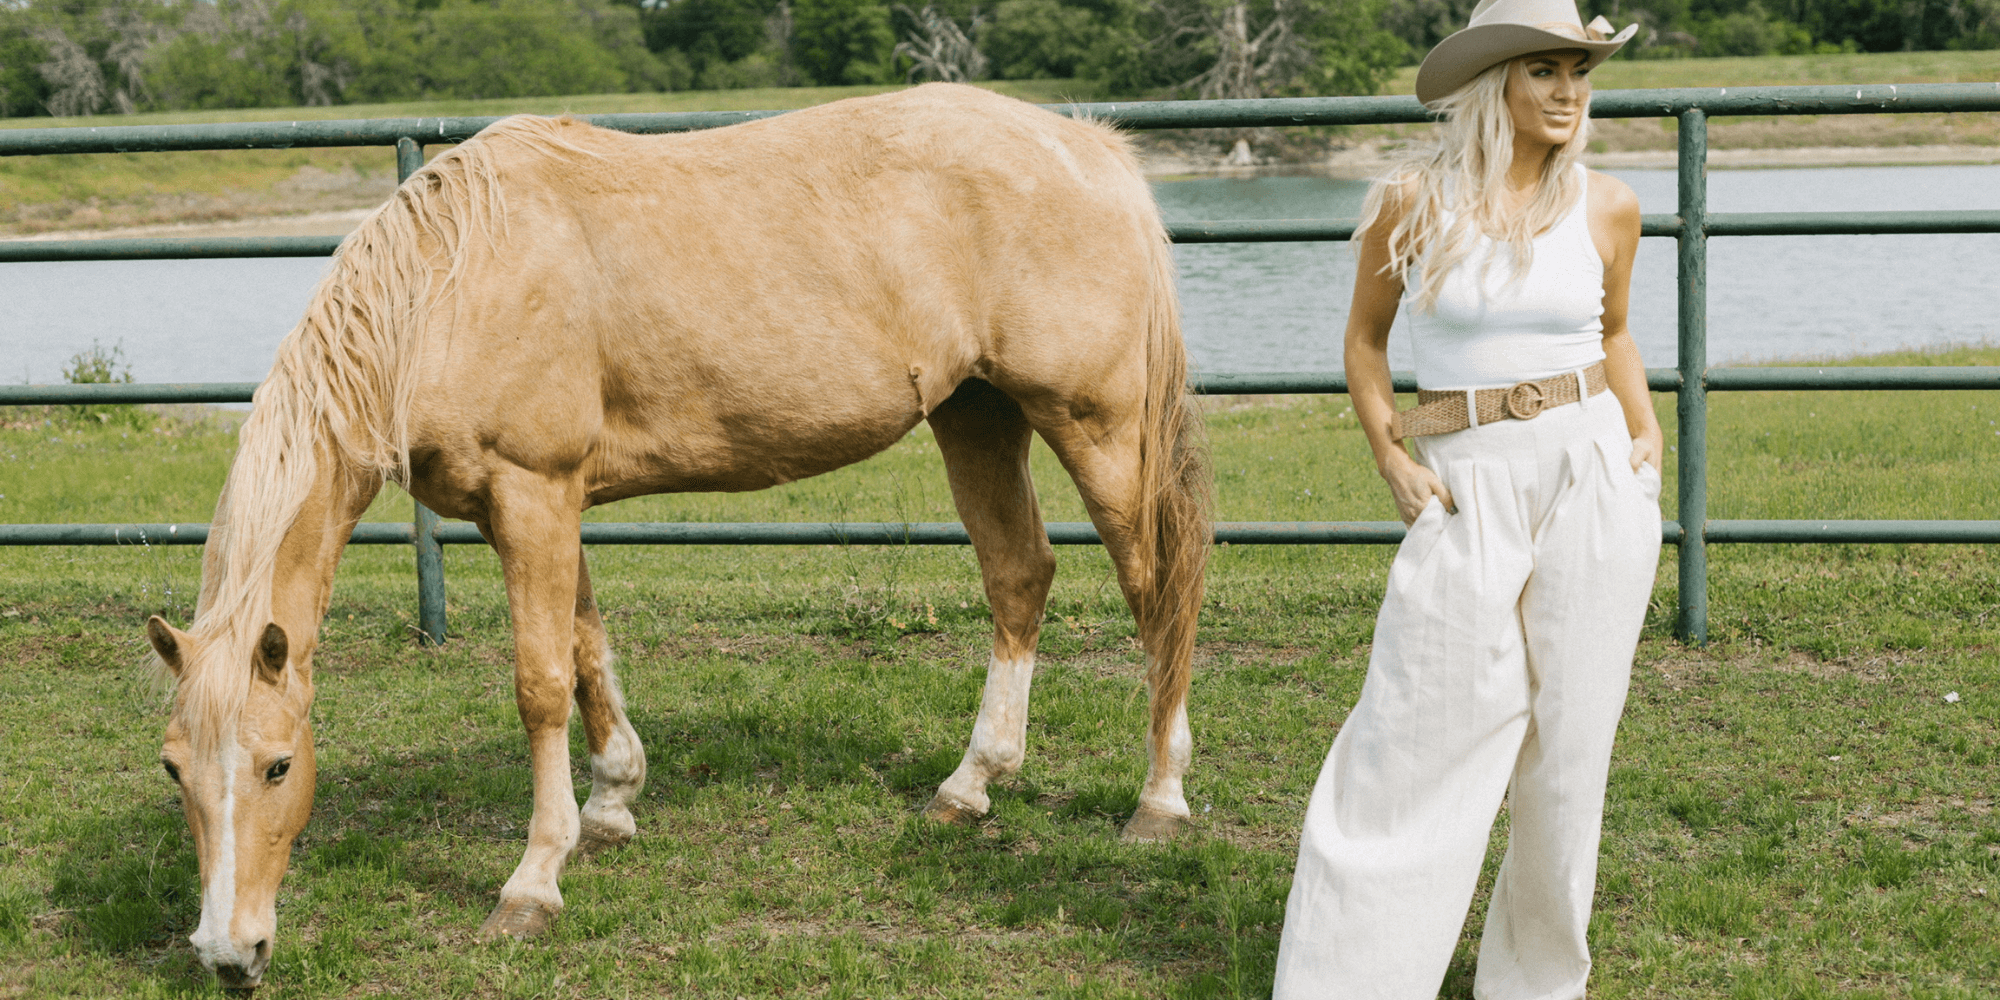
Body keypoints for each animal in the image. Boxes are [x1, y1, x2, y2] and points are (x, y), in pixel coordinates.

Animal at [141, 84, 1208, 984]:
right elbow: (584, 652)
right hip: (976, 414)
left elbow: (539, 684)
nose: (228, 954)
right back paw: (970, 785)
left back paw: (1158, 802)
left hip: (1094, 423)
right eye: (174, 768)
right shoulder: (539, 507)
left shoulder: (533, 494)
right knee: (1019, 576)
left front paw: (533, 884)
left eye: (278, 766)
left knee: (1155, 590)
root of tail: (1089, 145)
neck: (451, 283)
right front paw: (612, 804)